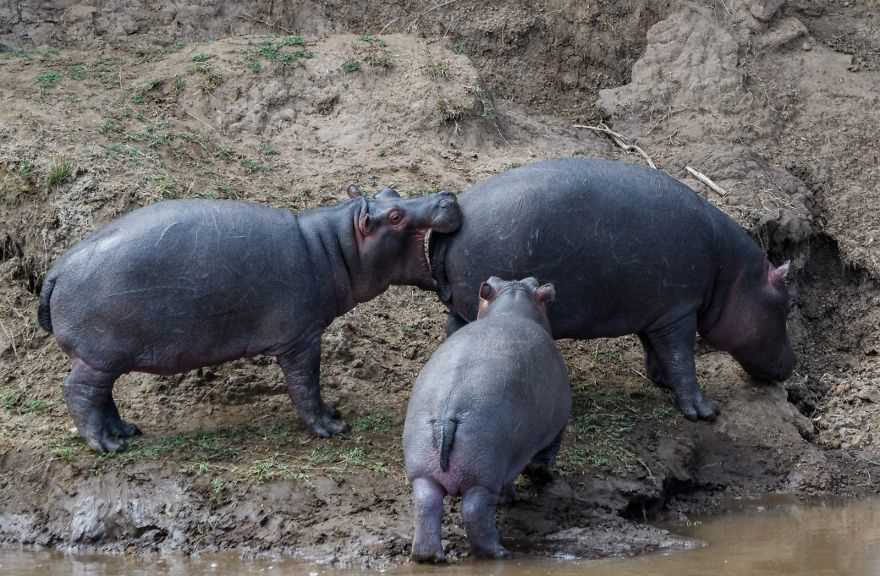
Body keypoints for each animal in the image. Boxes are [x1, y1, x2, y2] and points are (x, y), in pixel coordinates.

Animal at [36, 187, 460, 452]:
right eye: (395, 214)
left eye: (391, 191)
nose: (447, 195)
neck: (334, 247)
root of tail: (56, 270)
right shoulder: (302, 338)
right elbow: (306, 384)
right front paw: (332, 426)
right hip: (99, 355)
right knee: (78, 391)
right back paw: (107, 445)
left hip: (103, 358)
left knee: (100, 395)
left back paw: (125, 432)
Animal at [404, 276, 572, 560]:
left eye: (531, 281)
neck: (513, 303)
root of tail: (447, 413)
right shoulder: (554, 425)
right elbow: (544, 454)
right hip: (483, 477)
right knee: (475, 512)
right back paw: (499, 553)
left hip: (423, 473)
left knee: (426, 506)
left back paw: (429, 556)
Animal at [430, 158, 796, 418]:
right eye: (786, 304)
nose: (792, 364)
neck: (732, 274)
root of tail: (457, 219)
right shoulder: (680, 310)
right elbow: (682, 358)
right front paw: (704, 411)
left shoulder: (656, 311)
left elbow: (656, 350)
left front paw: (661, 381)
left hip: (467, 305)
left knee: (454, 329)